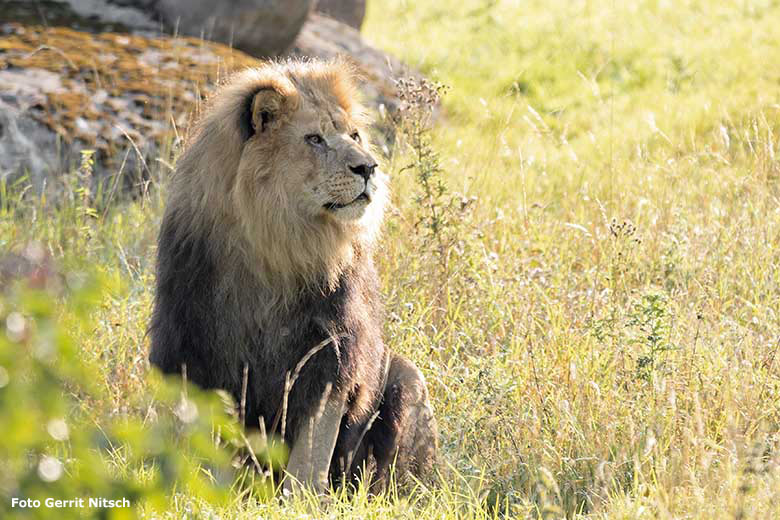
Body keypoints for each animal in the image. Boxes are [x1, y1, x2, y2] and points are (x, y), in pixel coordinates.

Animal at [148, 59, 438, 494]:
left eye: (354, 135)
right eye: (315, 139)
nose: (368, 167)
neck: (281, 244)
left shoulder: (332, 359)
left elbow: (311, 455)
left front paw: (302, 499)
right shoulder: (198, 349)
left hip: (407, 376)